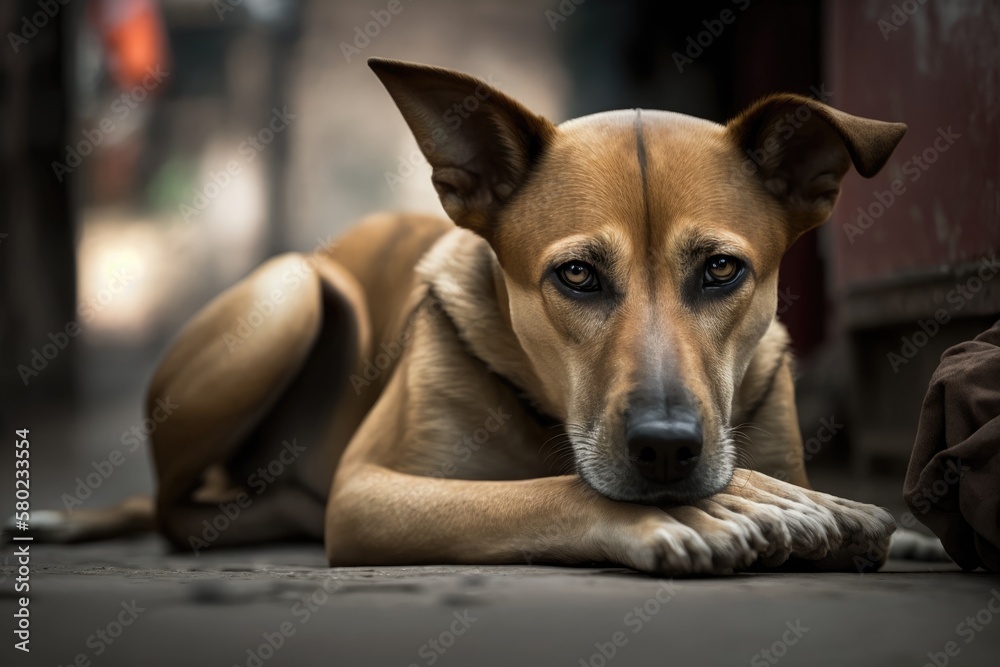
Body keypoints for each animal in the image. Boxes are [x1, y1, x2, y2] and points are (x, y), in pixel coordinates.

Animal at [31, 60, 916, 576]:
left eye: (722, 269)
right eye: (578, 275)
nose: (666, 451)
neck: (544, 412)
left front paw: (841, 512)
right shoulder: (371, 491)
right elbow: (537, 493)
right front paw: (733, 505)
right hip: (286, 295)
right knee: (177, 509)